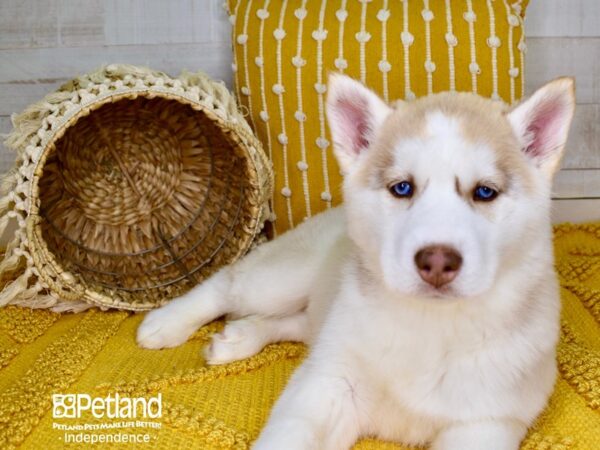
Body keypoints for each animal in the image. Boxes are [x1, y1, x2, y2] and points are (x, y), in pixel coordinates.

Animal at [138, 75, 576, 448]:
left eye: (485, 192)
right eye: (402, 188)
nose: (436, 261)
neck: (431, 325)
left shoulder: (484, 423)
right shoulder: (328, 386)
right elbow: (291, 435)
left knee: (299, 323)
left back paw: (240, 337)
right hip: (283, 280)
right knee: (229, 283)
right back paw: (165, 323)